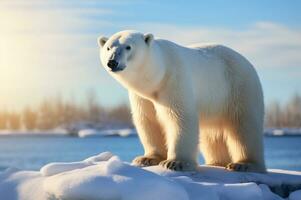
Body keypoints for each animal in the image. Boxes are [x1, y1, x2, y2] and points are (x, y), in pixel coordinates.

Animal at [96, 29, 264, 172]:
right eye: (108, 48)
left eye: (128, 47)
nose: (112, 62)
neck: (158, 74)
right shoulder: (142, 97)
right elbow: (148, 120)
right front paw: (147, 159)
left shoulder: (175, 81)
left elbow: (180, 117)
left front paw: (175, 162)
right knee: (211, 133)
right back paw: (216, 162)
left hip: (238, 87)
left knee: (244, 126)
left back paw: (244, 164)